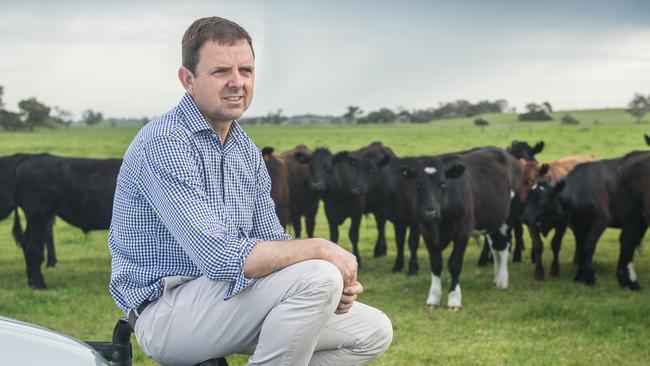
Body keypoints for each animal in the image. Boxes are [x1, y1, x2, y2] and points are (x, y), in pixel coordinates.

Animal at [398, 147, 520, 310]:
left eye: (443, 184)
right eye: (418, 186)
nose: (430, 212)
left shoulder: (463, 232)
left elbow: (454, 264)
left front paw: (454, 299)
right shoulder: (426, 232)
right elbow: (436, 264)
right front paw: (434, 297)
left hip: (508, 217)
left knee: (505, 245)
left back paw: (502, 279)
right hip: (492, 220)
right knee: (495, 246)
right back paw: (496, 277)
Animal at [520, 159, 620, 288]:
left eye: (531, 180)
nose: (521, 204)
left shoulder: (561, 225)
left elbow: (555, 244)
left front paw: (554, 270)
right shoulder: (531, 224)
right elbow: (538, 246)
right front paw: (539, 273)